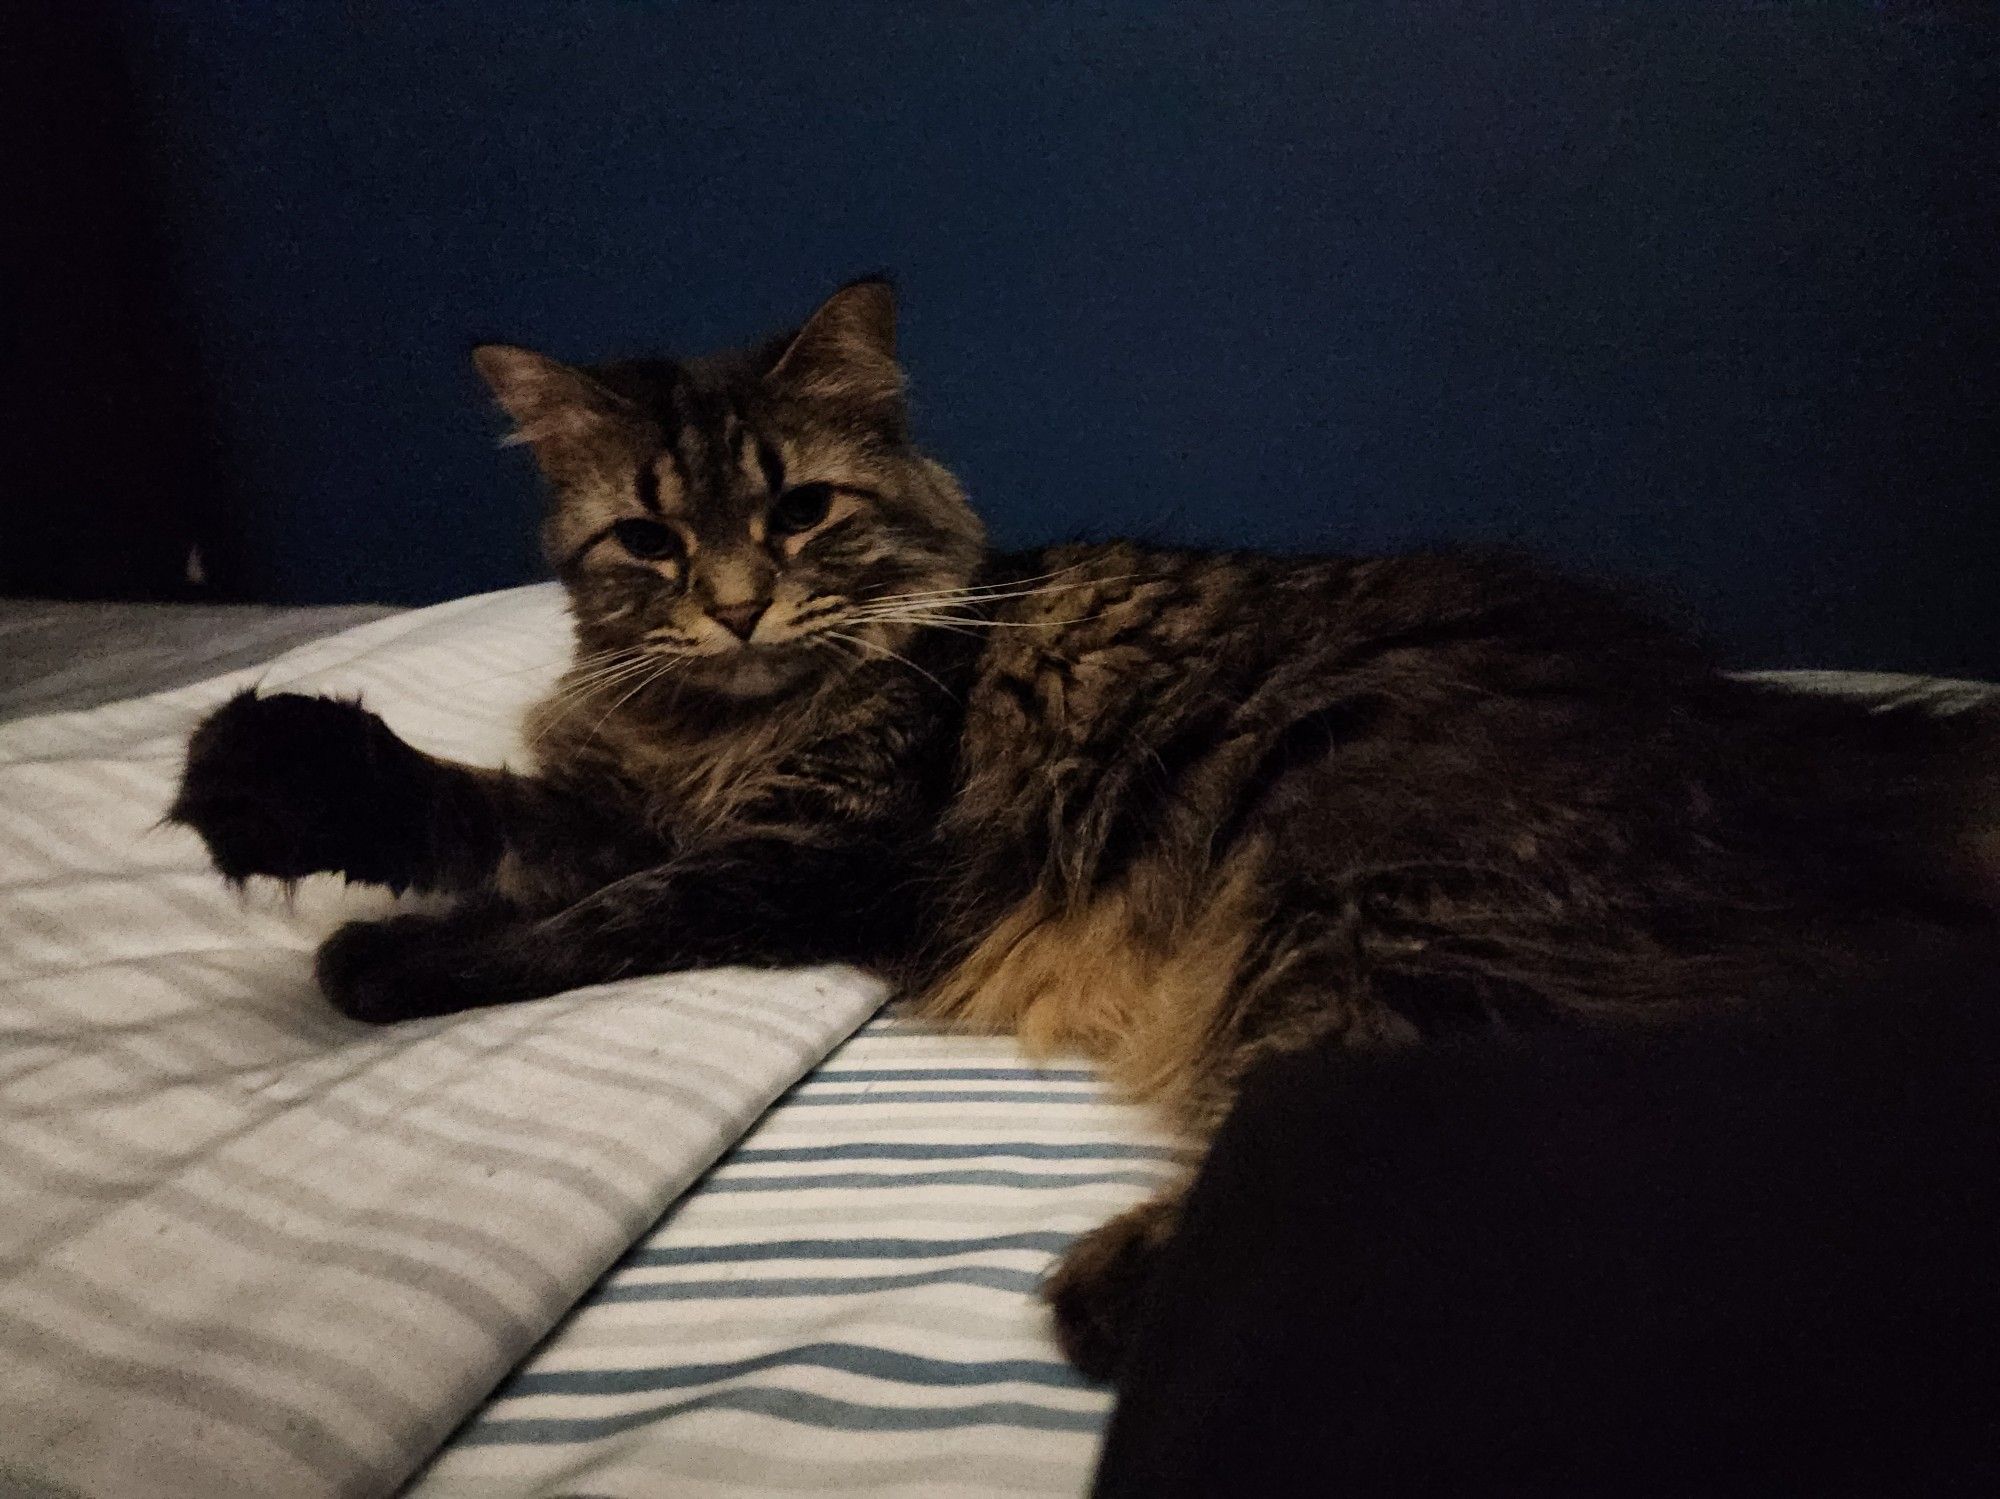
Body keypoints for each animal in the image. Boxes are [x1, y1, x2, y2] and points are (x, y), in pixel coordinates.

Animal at [168, 281, 2000, 1383]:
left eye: (800, 512)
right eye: (651, 540)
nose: (741, 602)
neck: (728, 722)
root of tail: (1754, 719)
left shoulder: (818, 847)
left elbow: (586, 920)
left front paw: (391, 962)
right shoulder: (609, 801)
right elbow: (467, 810)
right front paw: (275, 780)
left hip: (1377, 902)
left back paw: (1125, 1295)